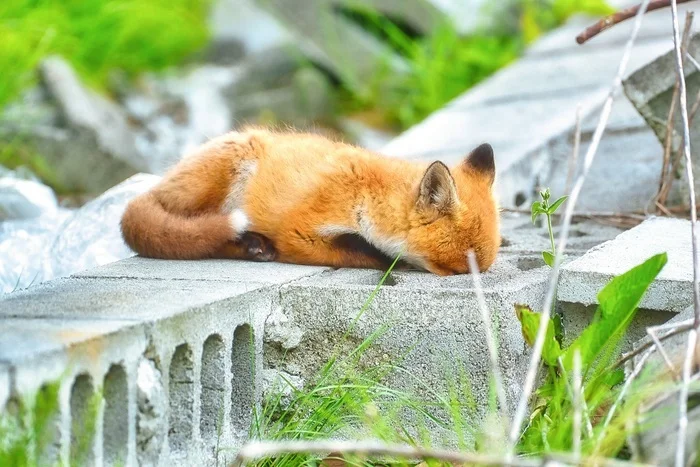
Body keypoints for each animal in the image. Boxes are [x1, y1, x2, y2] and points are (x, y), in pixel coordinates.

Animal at [121, 126, 504, 276]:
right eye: (457, 271)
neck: (369, 198)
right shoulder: (299, 230)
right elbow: (365, 254)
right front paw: (388, 260)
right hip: (223, 172)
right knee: (199, 237)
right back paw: (252, 245)